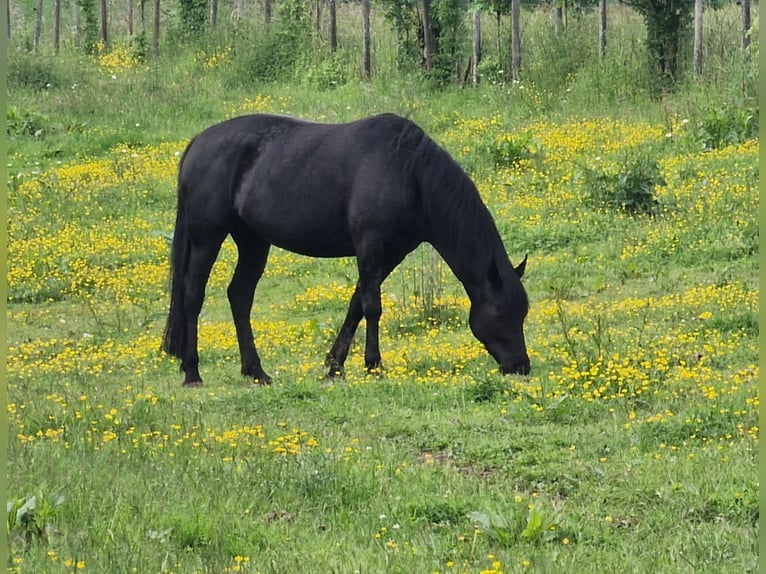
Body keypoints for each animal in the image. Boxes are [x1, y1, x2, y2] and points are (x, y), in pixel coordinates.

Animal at [162, 113, 532, 388]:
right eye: (502, 314)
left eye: (522, 314)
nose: (521, 366)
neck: (407, 172)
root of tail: (197, 143)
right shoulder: (370, 246)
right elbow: (372, 307)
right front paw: (373, 365)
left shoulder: (390, 253)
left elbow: (357, 304)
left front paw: (334, 365)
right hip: (208, 238)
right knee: (193, 296)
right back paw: (192, 372)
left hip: (253, 242)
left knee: (240, 296)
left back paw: (256, 371)